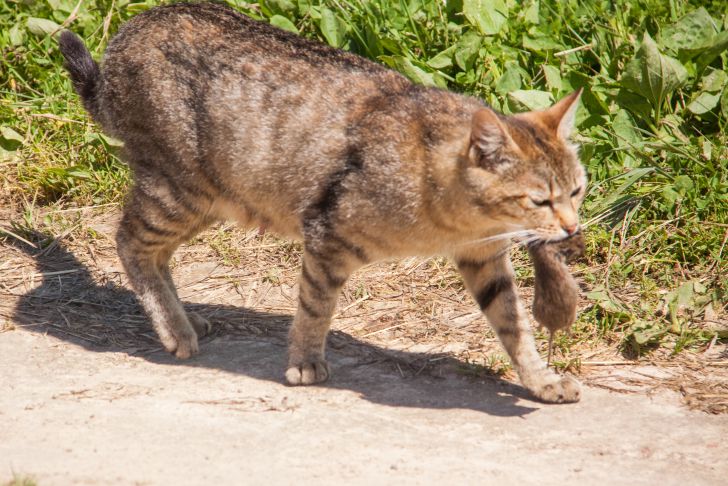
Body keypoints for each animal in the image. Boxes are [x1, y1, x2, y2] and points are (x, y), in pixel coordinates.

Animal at [59, 1, 588, 402]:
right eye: (540, 200)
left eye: (577, 191)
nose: (571, 228)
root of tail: (131, 28)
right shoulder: (326, 234)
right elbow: (316, 306)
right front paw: (306, 362)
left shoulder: (484, 258)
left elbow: (514, 324)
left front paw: (540, 380)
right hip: (180, 191)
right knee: (130, 242)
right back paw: (175, 329)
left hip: (206, 200)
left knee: (157, 252)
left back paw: (186, 318)